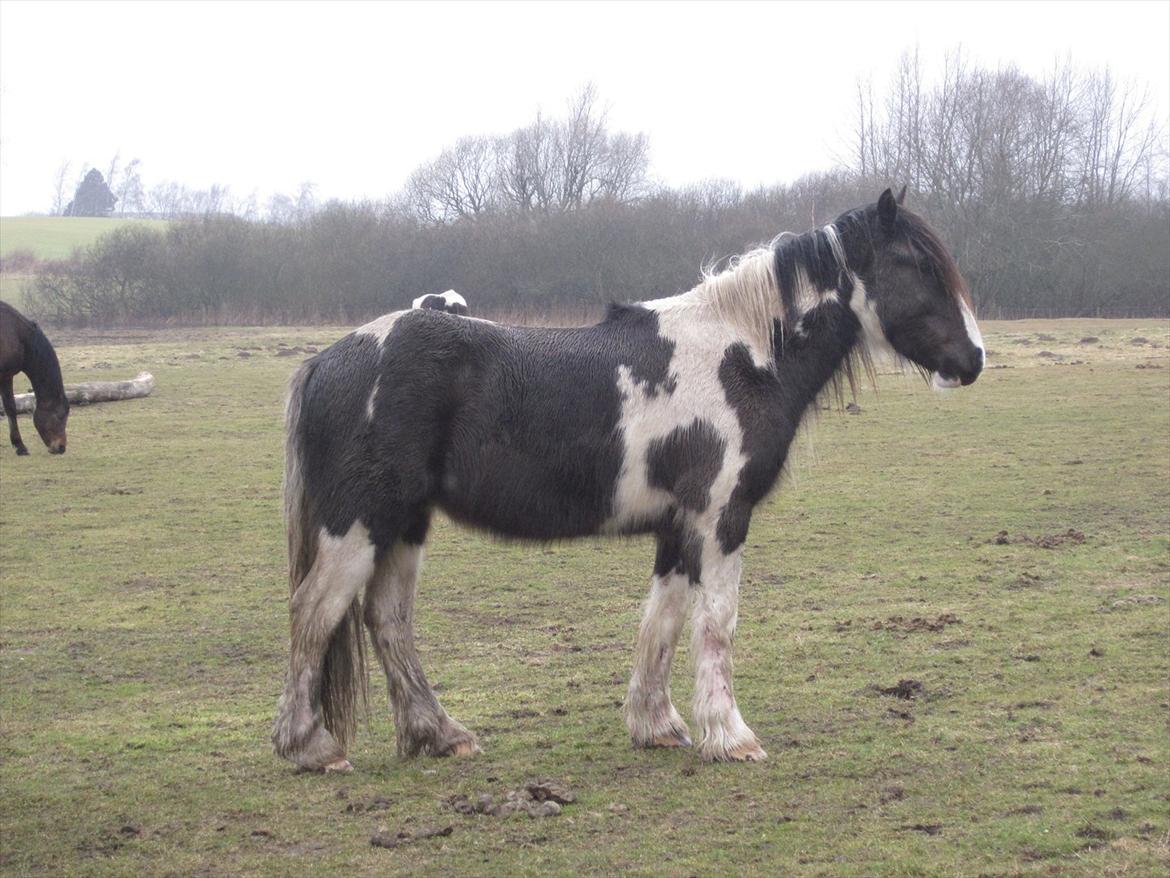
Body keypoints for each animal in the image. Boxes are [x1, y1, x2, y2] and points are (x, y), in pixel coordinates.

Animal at [0, 302, 68, 456]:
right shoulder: (5, 375)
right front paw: (20, 446)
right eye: (60, 415)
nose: (61, 447)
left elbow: (9, 408)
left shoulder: (5, 376)